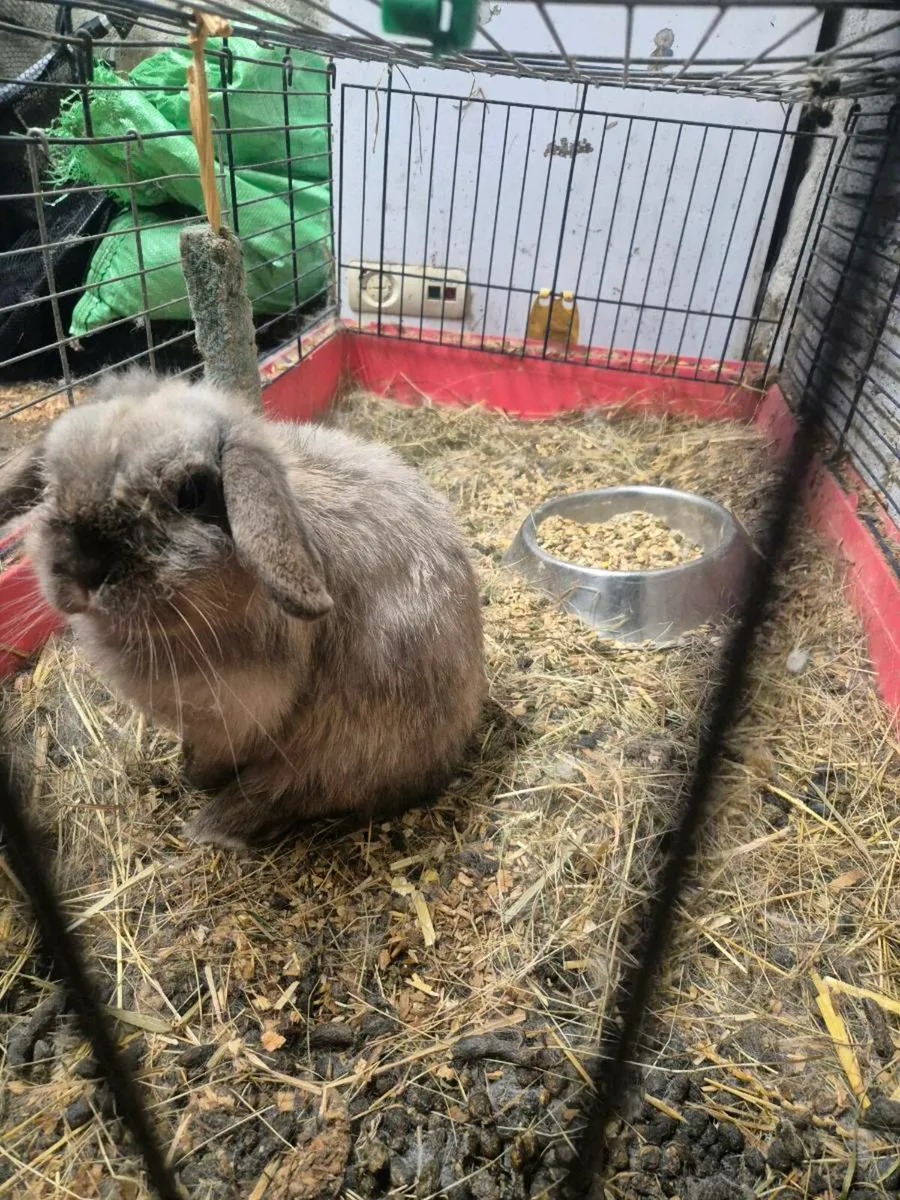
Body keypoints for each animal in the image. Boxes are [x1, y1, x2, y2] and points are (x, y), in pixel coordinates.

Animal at [0, 369, 485, 848]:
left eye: (191, 492)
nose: (83, 571)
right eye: (52, 483)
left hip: (339, 753)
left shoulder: (239, 713)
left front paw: (194, 780)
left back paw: (213, 824)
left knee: (284, 791)